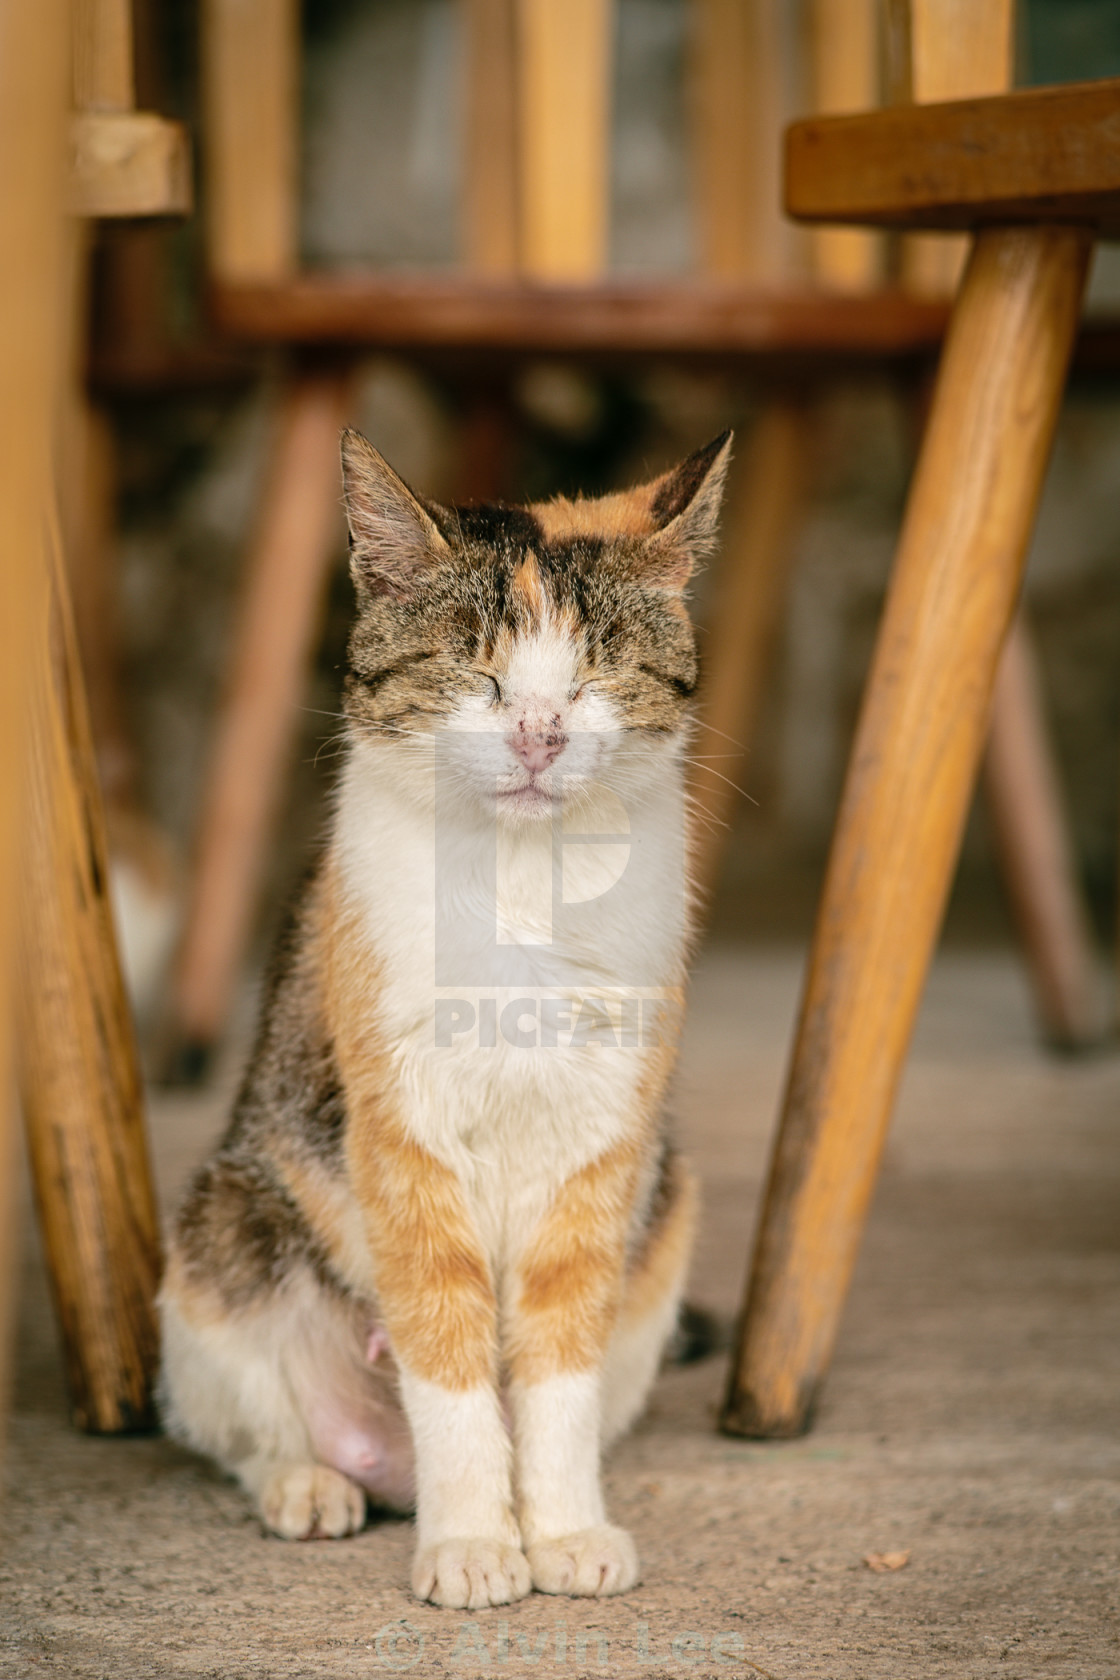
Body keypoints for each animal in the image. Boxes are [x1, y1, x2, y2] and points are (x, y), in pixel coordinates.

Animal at [159, 426, 735, 1606]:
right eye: (475, 665)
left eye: (598, 668)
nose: (538, 733)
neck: (521, 888)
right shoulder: (402, 1129)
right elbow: (446, 1340)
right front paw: (472, 1542)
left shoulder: (603, 1138)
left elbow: (557, 1356)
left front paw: (561, 1532)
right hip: (221, 1229)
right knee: (242, 1426)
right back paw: (311, 1486)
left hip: (667, 1210)